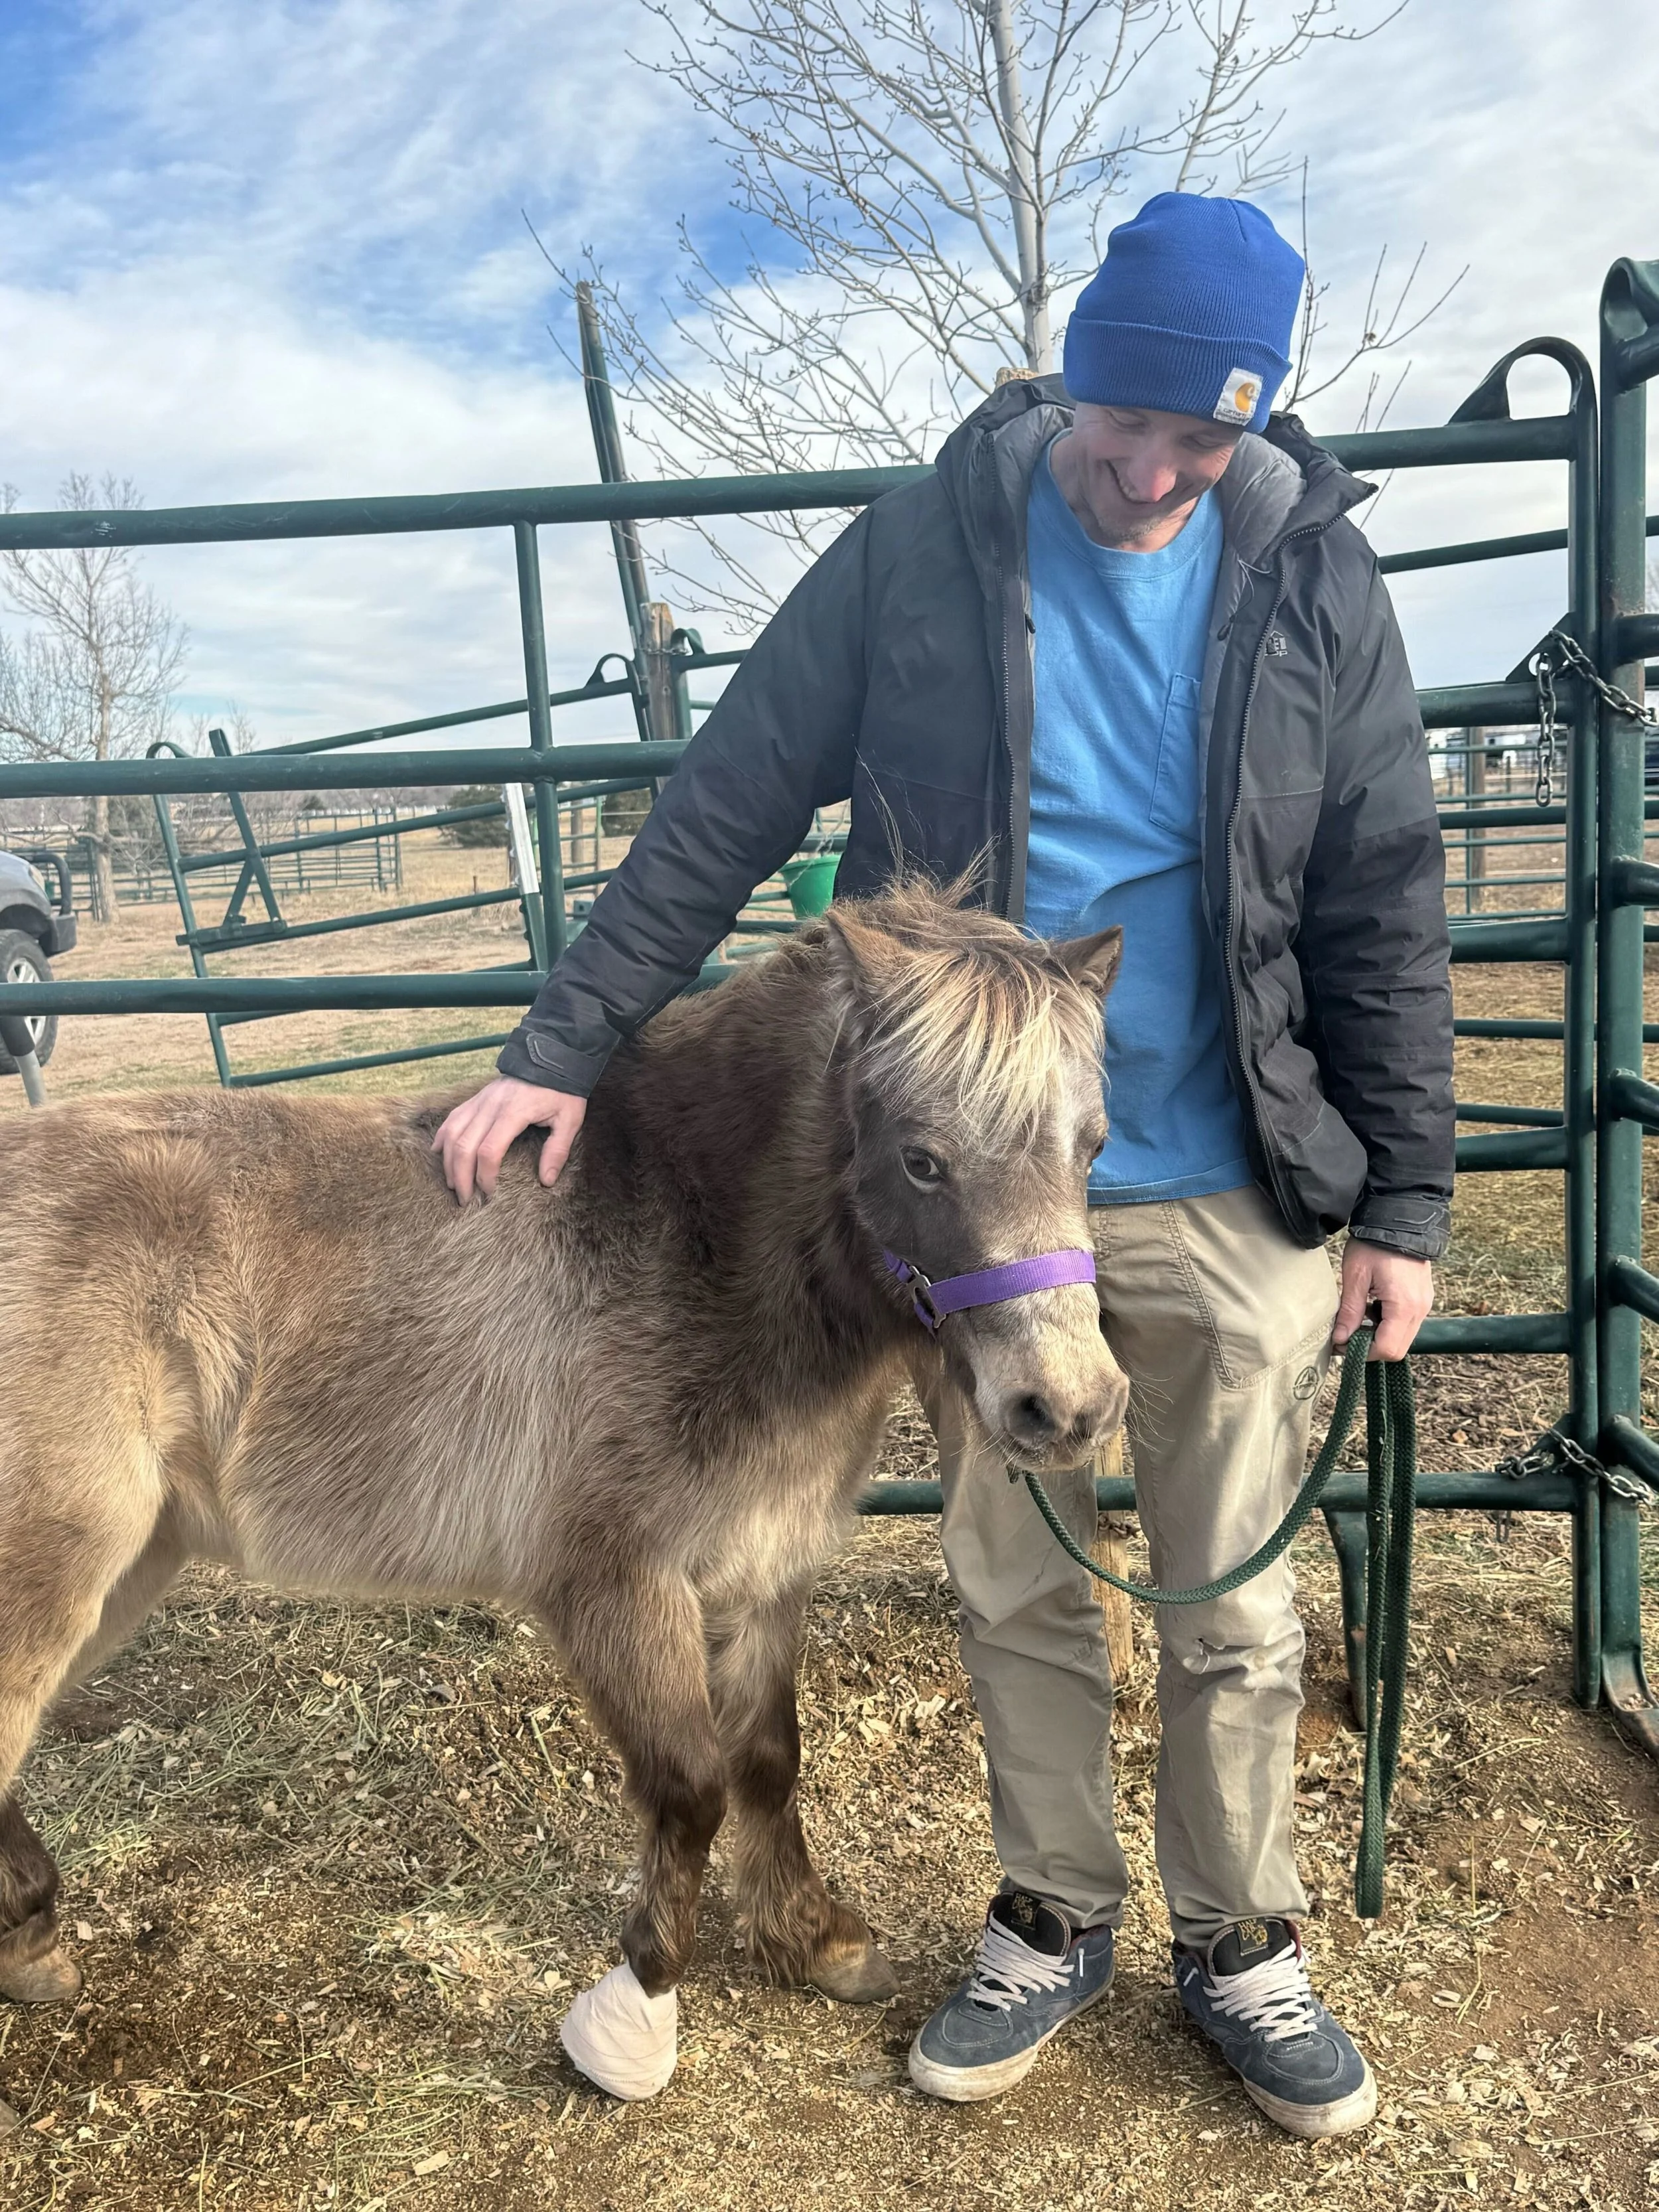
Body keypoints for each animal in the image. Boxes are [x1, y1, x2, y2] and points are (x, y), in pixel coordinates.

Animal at [0, 881, 1126, 2100]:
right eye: (922, 1159)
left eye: (1093, 1145)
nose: (1068, 1407)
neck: (692, 1245)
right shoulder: (617, 1586)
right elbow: (690, 1783)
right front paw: (635, 2012)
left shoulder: (761, 1572)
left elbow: (768, 1760)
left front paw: (816, 1940)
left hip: (129, 1564)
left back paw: (33, 1938)